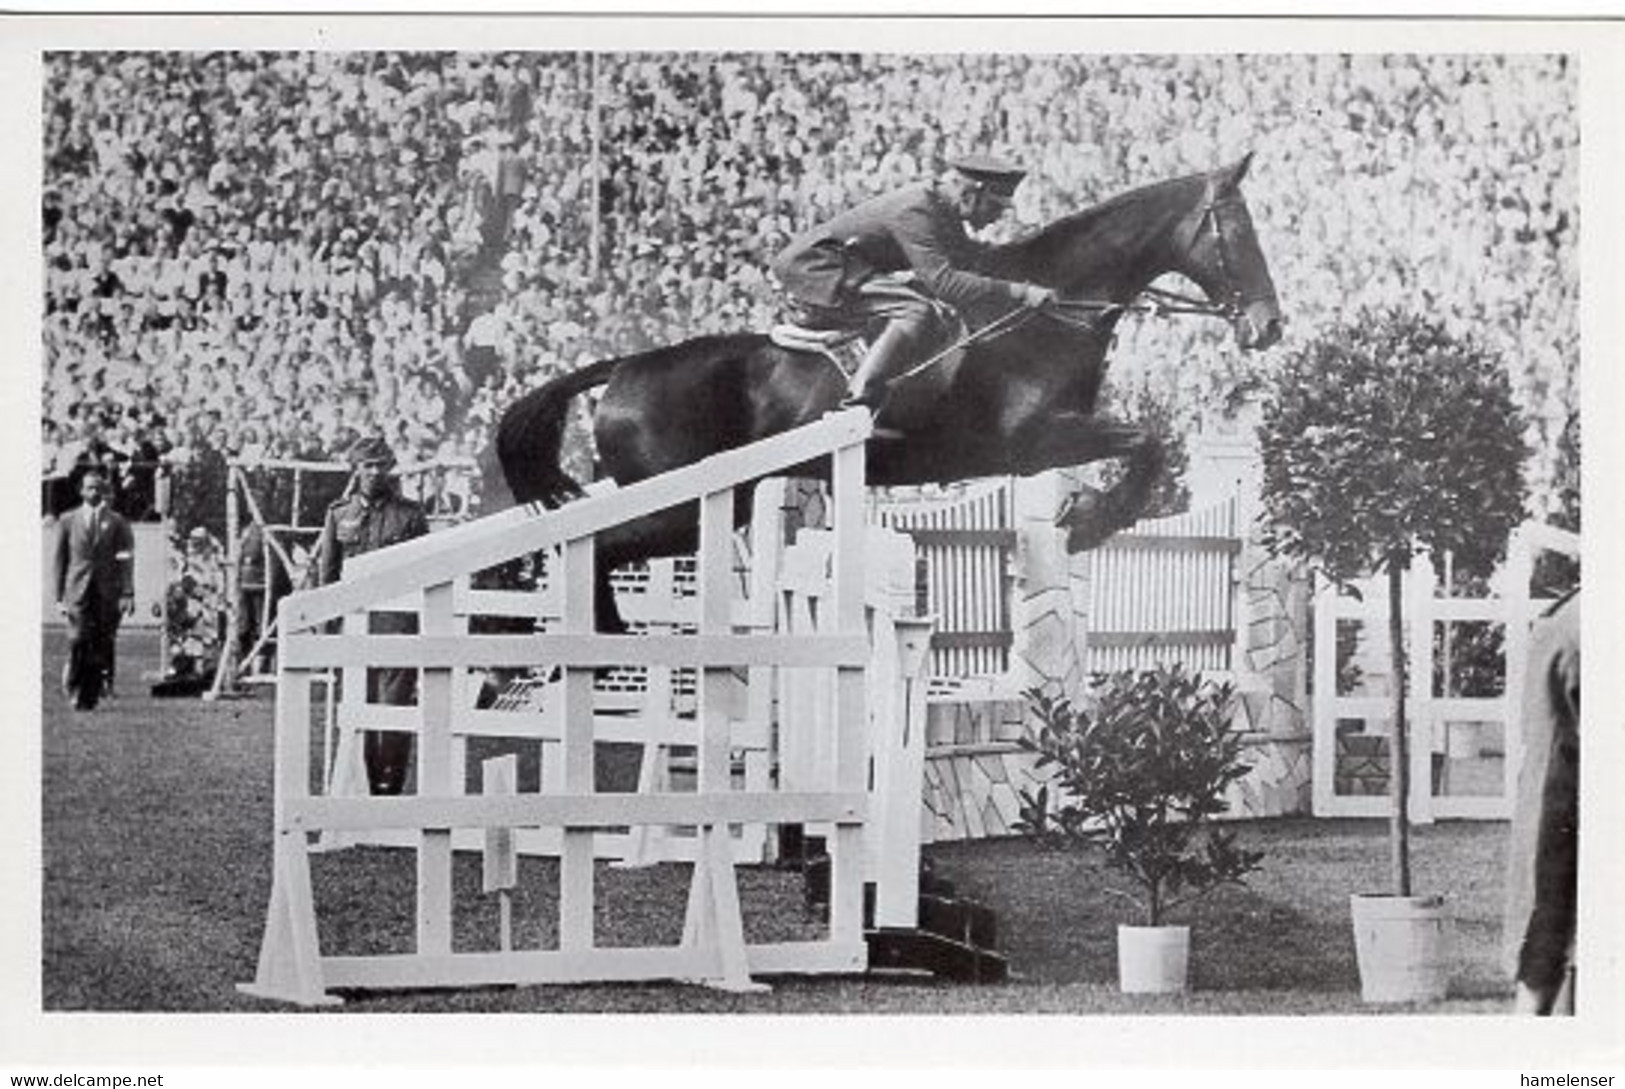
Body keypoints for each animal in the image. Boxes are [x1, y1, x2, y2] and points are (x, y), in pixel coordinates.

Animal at [494, 153, 1280, 630]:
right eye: (1238, 232)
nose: (1269, 327)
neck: (1051, 314)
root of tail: (624, 368)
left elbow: (1149, 446)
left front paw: (1088, 516)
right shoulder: (1033, 443)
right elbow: (1148, 443)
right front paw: (1088, 520)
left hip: (718, 501)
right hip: (677, 504)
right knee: (590, 549)